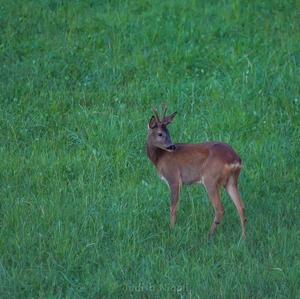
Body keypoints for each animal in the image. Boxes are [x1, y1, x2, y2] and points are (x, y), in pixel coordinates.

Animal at [146, 105, 247, 239]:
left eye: (167, 133)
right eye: (160, 133)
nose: (172, 146)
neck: (159, 157)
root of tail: (235, 159)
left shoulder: (173, 178)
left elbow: (173, 207)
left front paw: (171, 230)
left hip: (210, 179)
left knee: (220, 209)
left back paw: (209, 235)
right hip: (232, 181)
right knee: (241, 207)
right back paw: (243, 238)